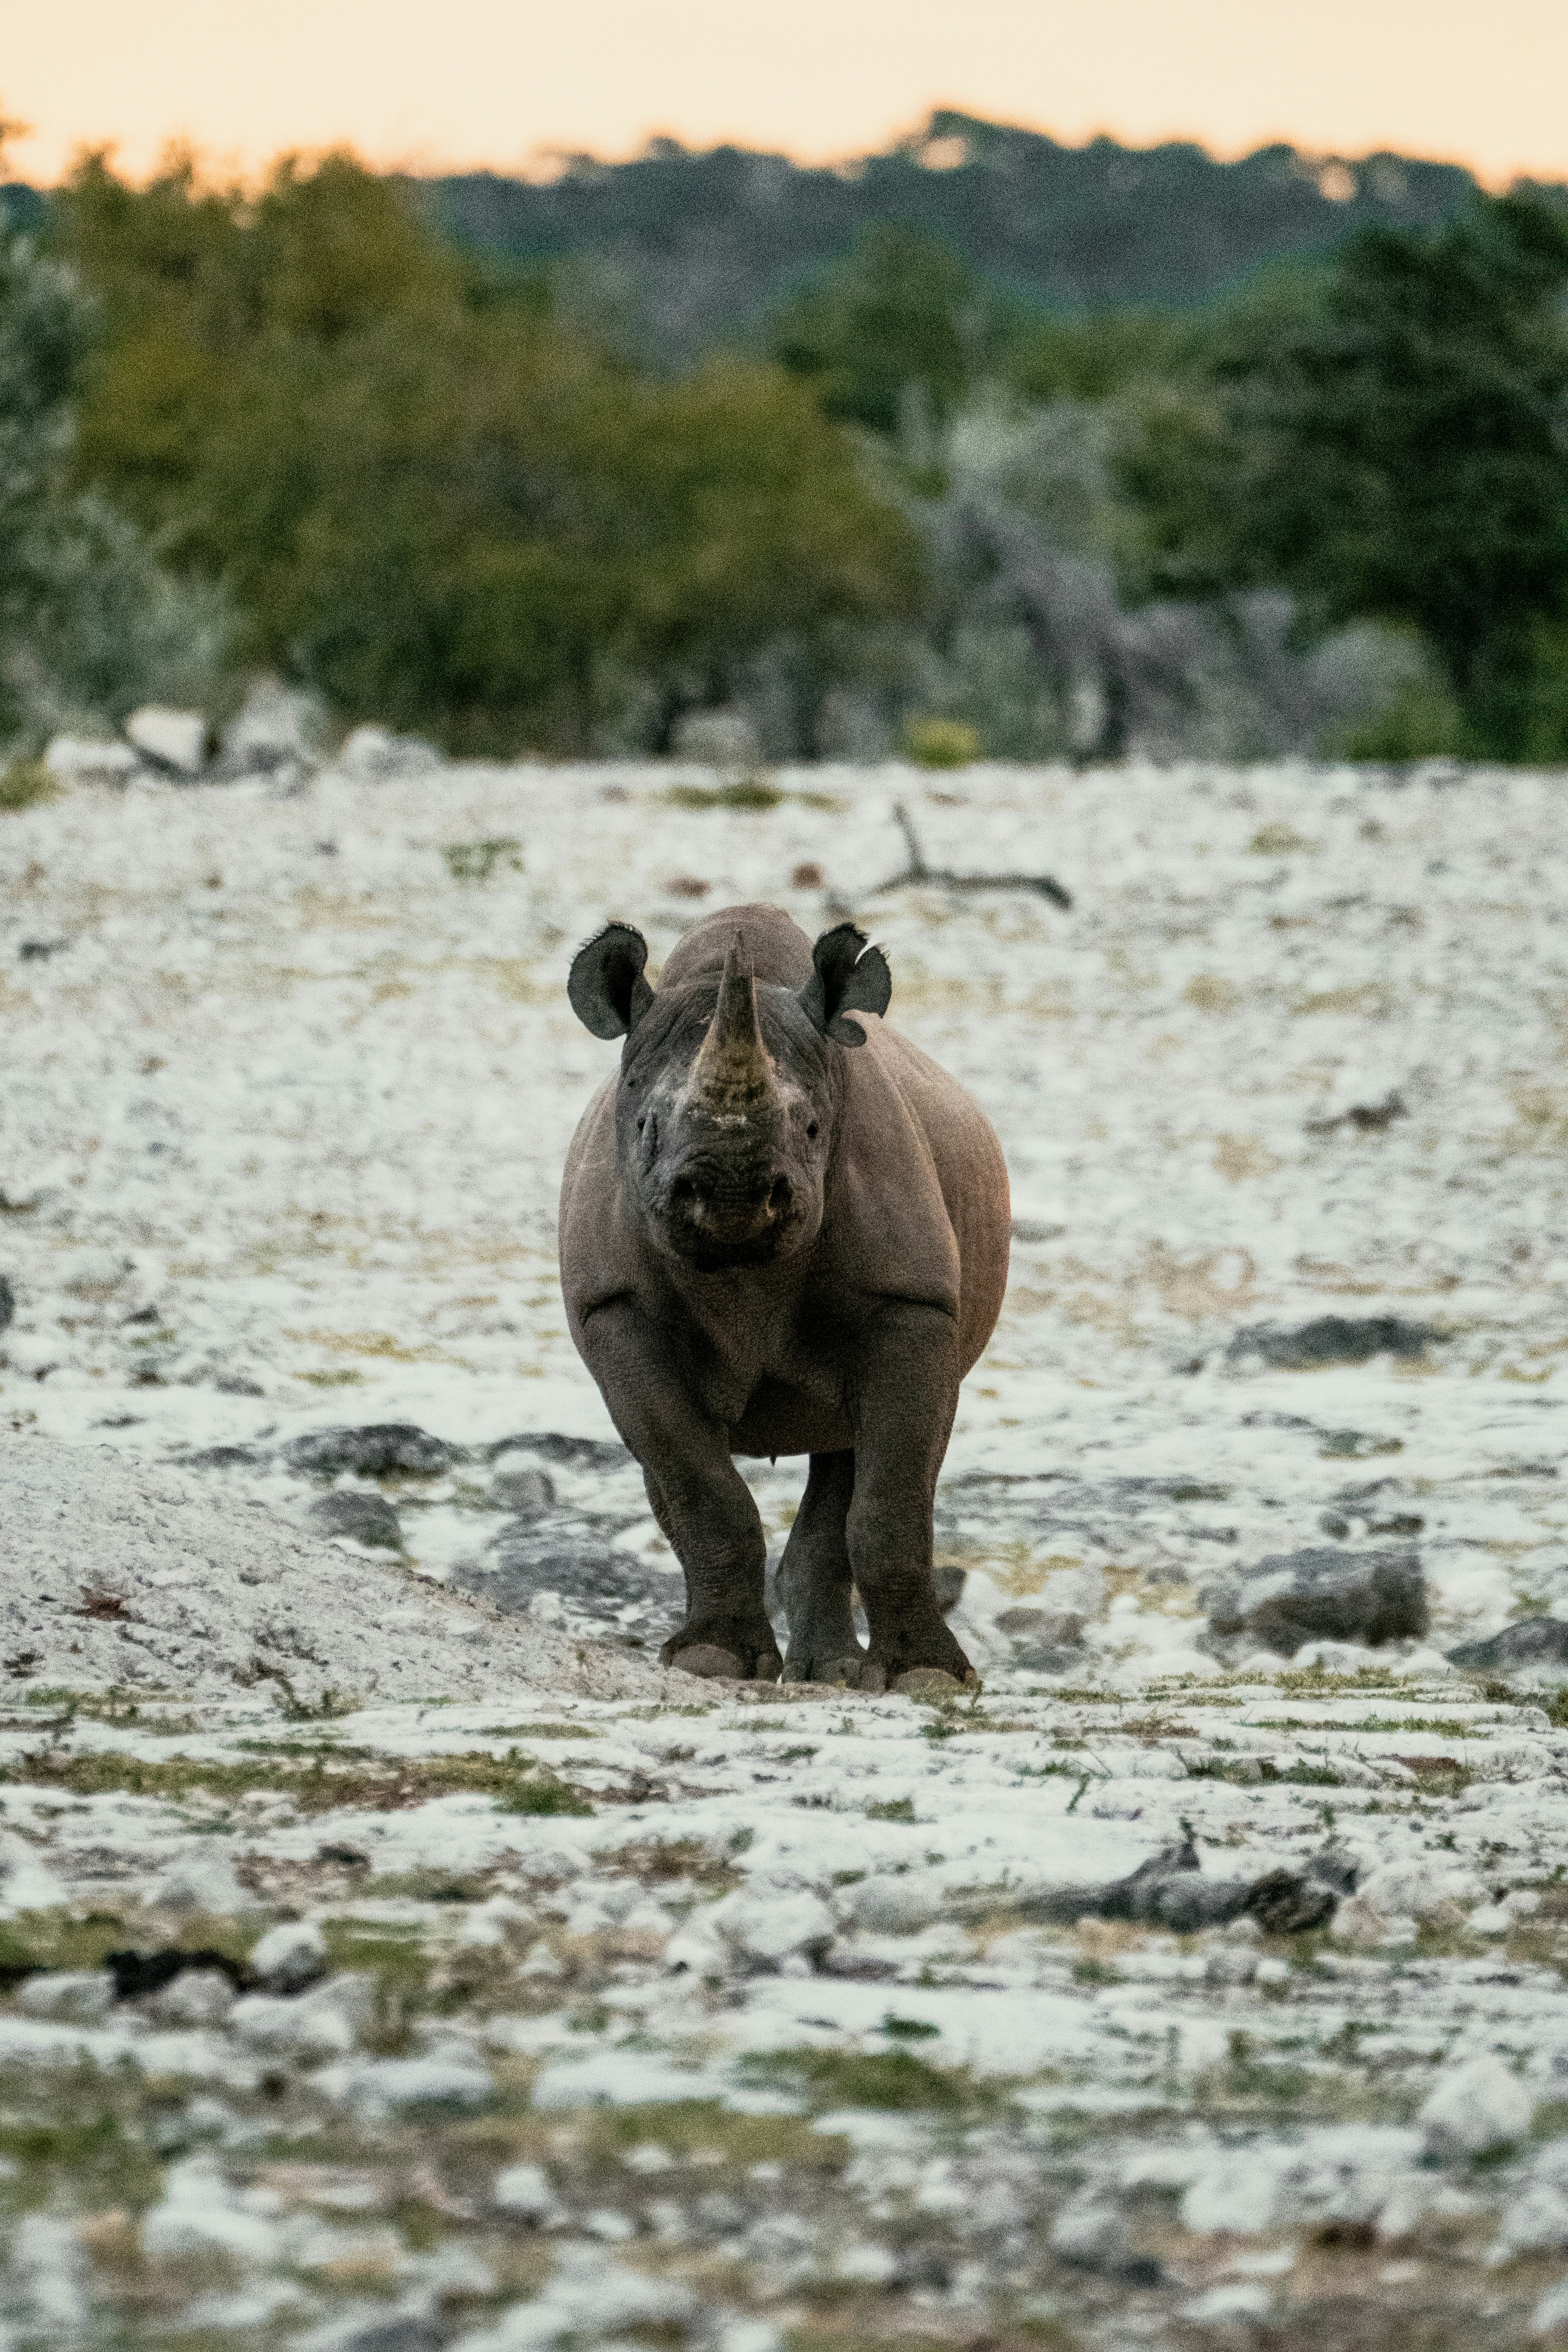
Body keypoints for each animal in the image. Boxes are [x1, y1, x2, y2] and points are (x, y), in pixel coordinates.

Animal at [559, 902, 1009, 1691]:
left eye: (811, 1127)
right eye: (644, 1127)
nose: (729, 1196)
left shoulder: (911, 1303)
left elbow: (890, 1501)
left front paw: (927, 1677)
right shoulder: (614, 1309)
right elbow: (700, 1487)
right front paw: (712, 1661)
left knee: (848, 1452)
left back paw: (831, 1673)